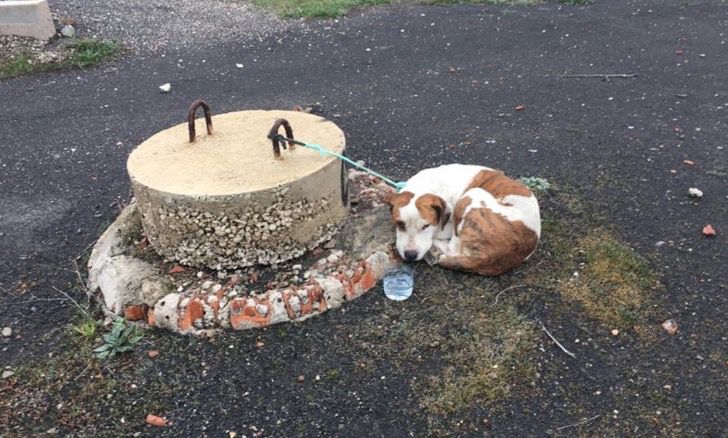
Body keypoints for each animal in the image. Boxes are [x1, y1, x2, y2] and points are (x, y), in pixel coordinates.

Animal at [386, 163, 540, 276]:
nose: (410, 255)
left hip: (473, 194)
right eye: (400, 224)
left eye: (426, 226)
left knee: (452, 249)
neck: (427, 184)